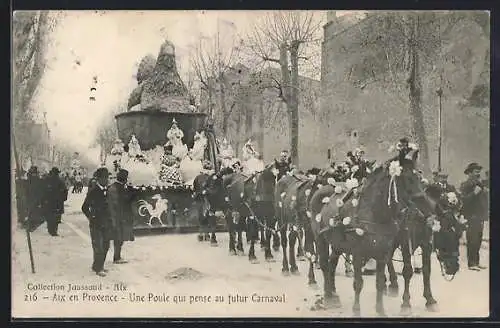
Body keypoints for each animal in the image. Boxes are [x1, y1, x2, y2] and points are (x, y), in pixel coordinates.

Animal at [310, 150, 436, 316]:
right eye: (407, 179)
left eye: (420, 178)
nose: (429, 208)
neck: (374, 212)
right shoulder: (358, 252)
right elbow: (358, 283)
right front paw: (357, 310)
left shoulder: (384, 251)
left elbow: (380, 282)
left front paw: (380, 310)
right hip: (320, 239)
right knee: (325, 264)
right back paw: (328, 297)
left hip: (337, 243)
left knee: (332, 263)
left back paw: (333, 294)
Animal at [384, 184, 466, 316]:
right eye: (445, 234)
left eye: (459, 234)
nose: (454, 267)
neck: (421, 219)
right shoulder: (406, 244)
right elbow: (407, 271)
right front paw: (406, 304)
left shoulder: (426, 245)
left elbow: (427, 271)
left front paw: (430, 300)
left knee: (387, 256)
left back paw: (393, 284)